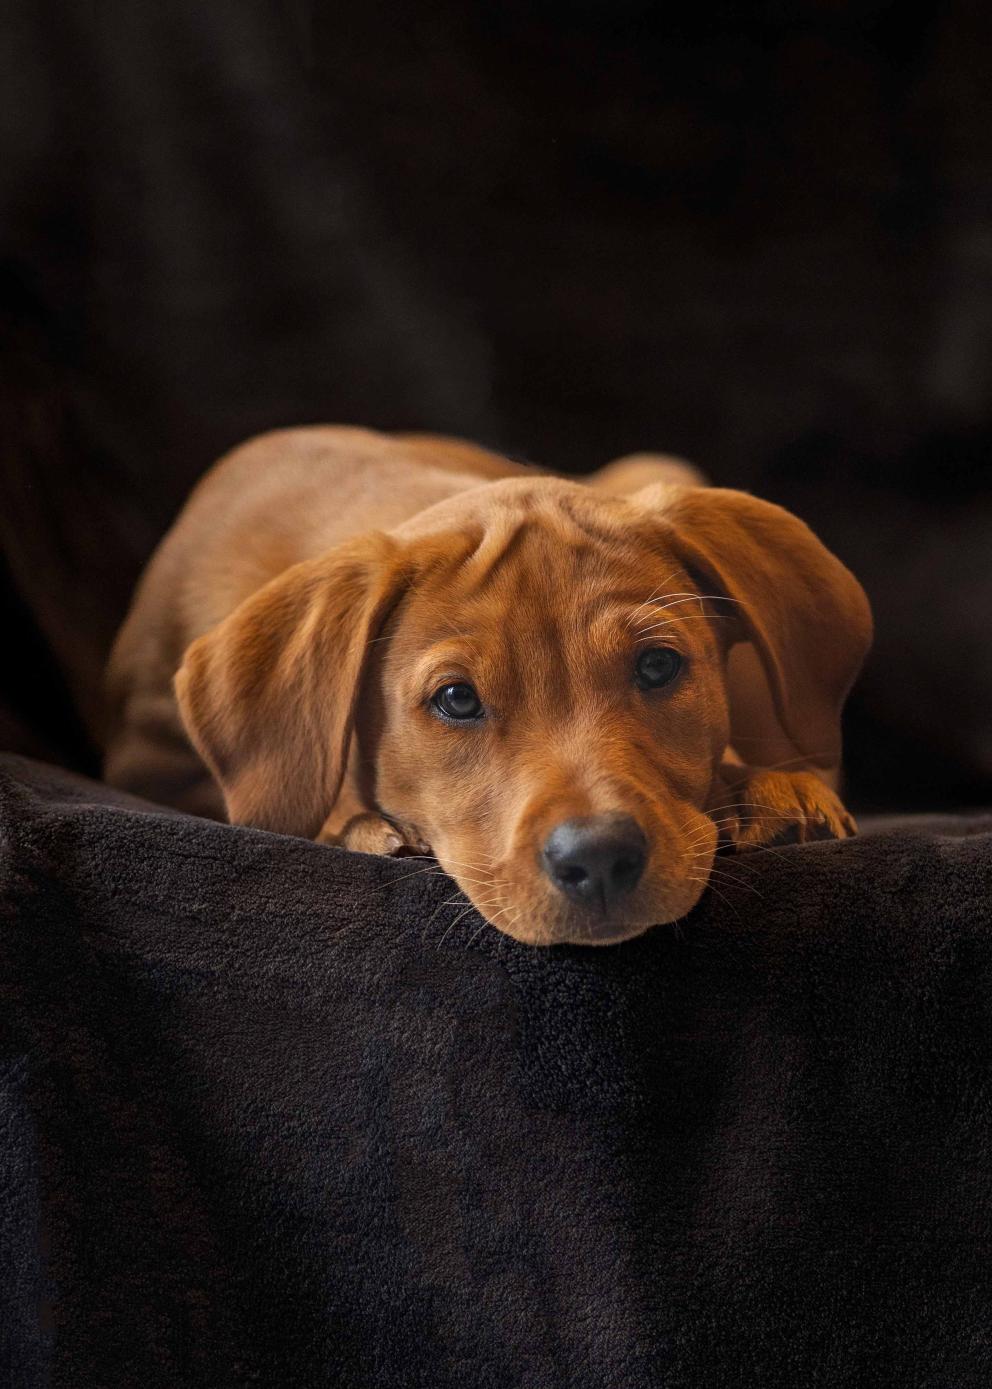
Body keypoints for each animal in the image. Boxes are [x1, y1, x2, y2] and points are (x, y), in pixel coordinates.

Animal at [104, 427, 866, 950]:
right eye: (456, 699)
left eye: (657, 666)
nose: (598, 857)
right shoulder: (150, 764)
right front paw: (361, 824)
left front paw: (766, 792)